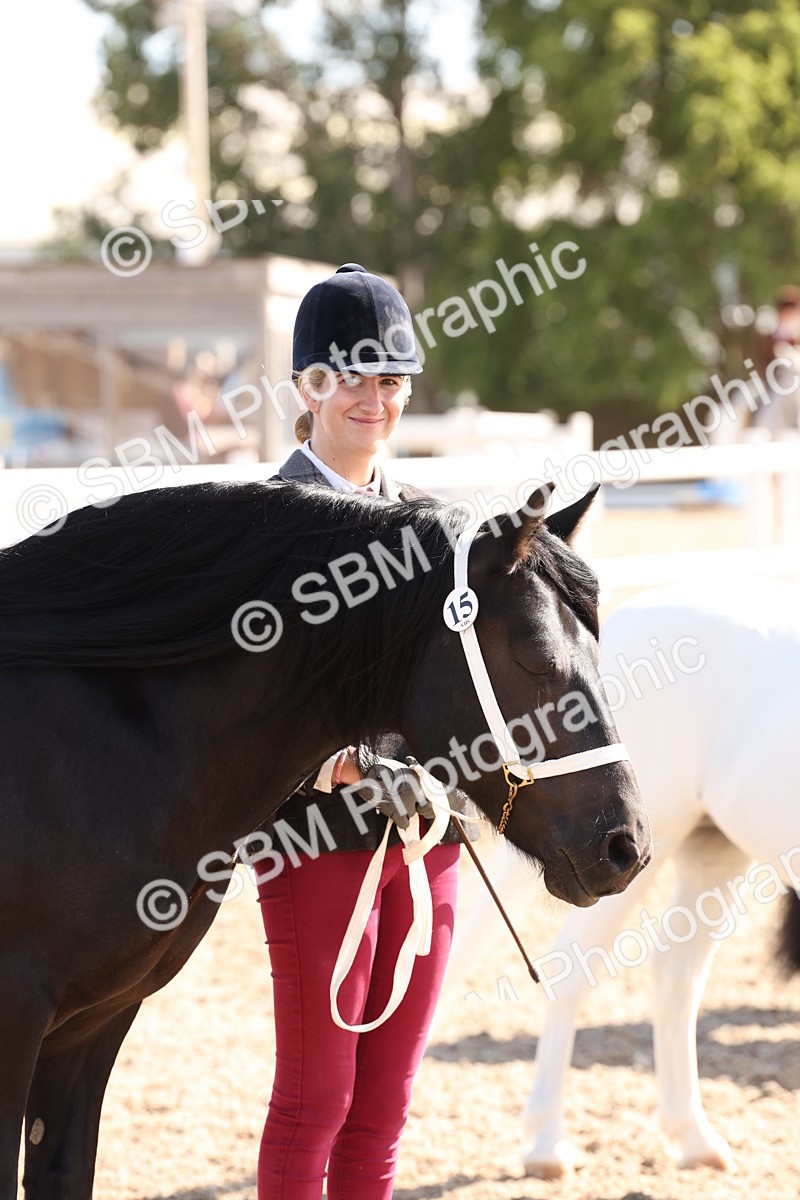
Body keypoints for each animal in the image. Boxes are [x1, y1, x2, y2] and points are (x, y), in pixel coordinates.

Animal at [444, 580, 800, 1177]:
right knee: (573, 971)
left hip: (710, 848)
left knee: (676, 975)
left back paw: (692, 1136)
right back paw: (546, 1143)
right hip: (631, 853)